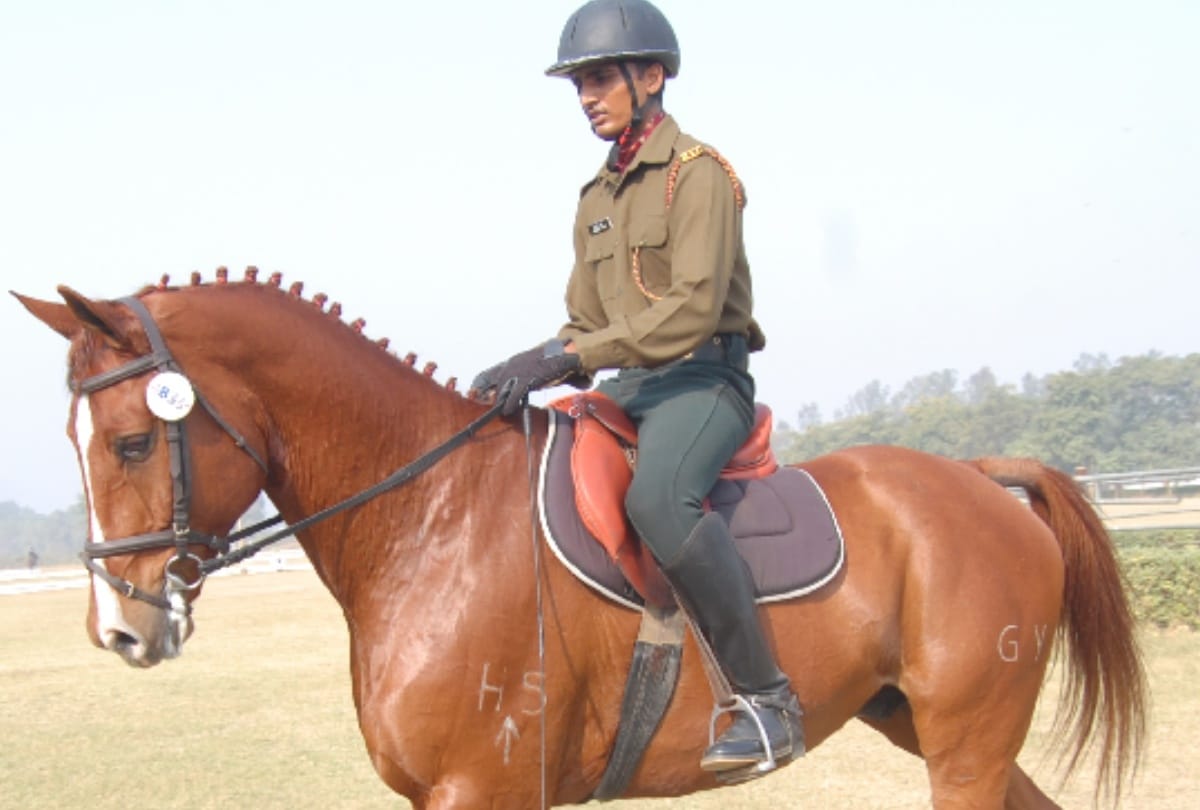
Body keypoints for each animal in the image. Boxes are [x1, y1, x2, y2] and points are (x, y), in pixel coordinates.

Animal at [15, 269, 1146, 809]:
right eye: (75, 440)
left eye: (129, 442)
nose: (121, 628)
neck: (430, 520)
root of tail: (979, 479)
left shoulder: (481, 792)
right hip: (924, 725)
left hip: (962, 745)